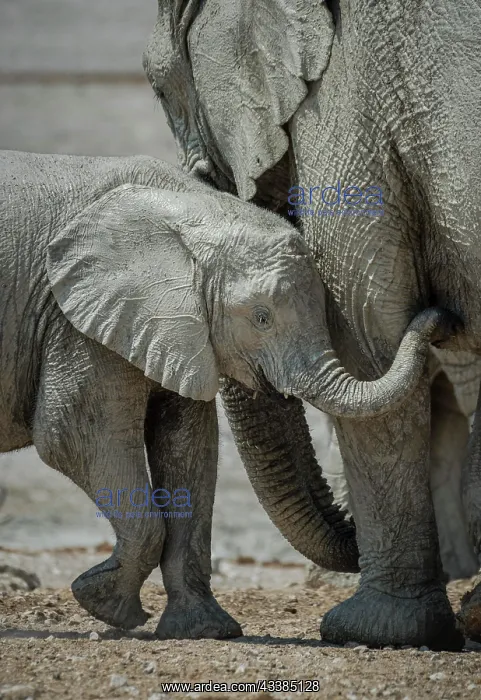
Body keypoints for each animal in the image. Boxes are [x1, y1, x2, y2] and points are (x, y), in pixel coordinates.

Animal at [0, 150, 455, 639]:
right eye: (261, 318)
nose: (442, 316)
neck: (192, 207)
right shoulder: (75, 319)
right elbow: (70, 437)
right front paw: (106, 606)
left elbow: (189, 447)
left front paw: (202, 630)